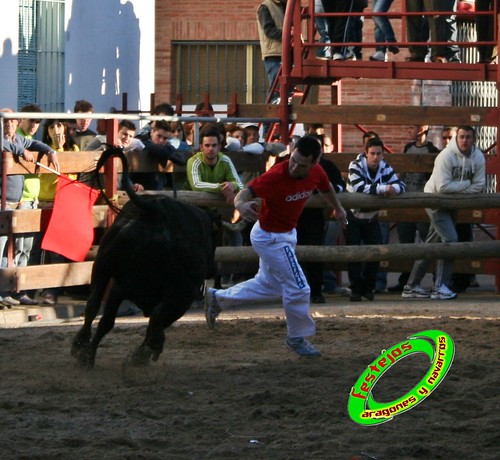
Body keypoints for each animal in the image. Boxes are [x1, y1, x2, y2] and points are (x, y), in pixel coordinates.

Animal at [72, 149, 215, 368]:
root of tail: (156, 212)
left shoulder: (119, 287)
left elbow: (108, 321)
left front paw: (89, 353)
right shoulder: (179, 297)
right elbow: (155, 321)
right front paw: (146, 351)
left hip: (103, 265)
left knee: (93, 303)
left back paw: (82, 348)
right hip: (181, 291)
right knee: (152, 317)